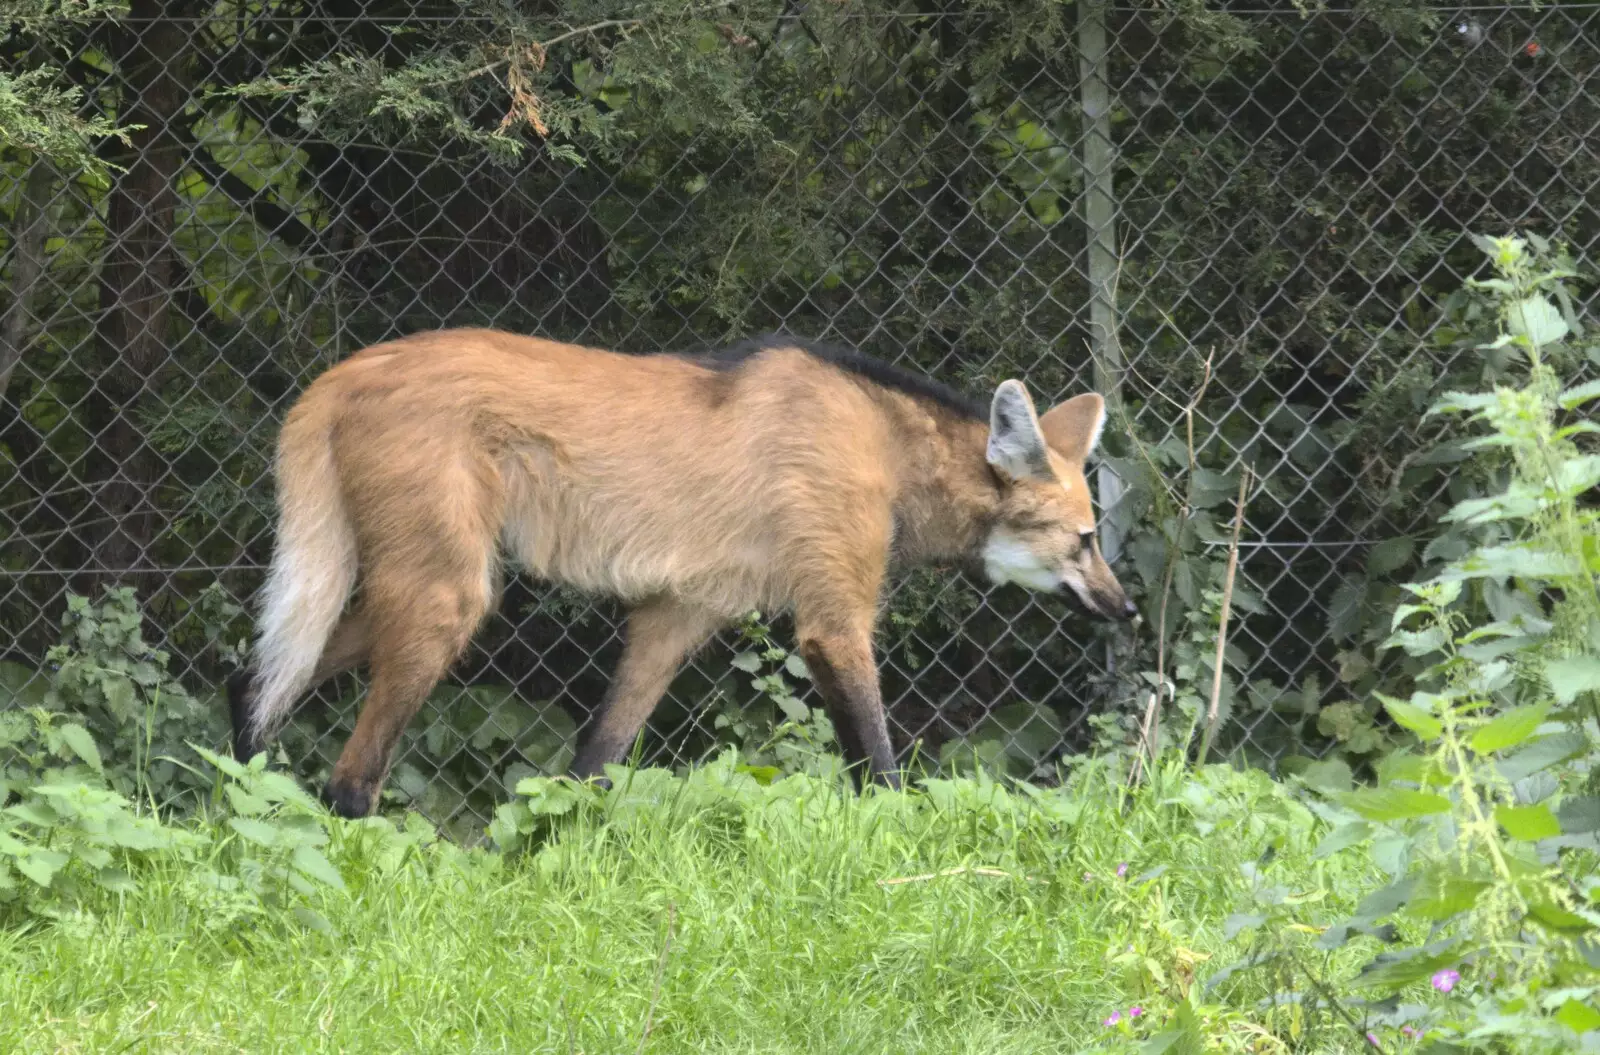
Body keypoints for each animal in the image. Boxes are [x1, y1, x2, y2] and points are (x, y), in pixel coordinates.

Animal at [228, 329, 1139, 816]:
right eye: (1086, 539)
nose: (1125, 609)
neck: (888, 448)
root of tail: (340, 373)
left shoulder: (678, 614)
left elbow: (595, 757)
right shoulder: (831, 619)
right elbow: (878, 760)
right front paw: (910, 843)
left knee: (259, 675)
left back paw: (231, 800)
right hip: (450, 595)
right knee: (350, 772)